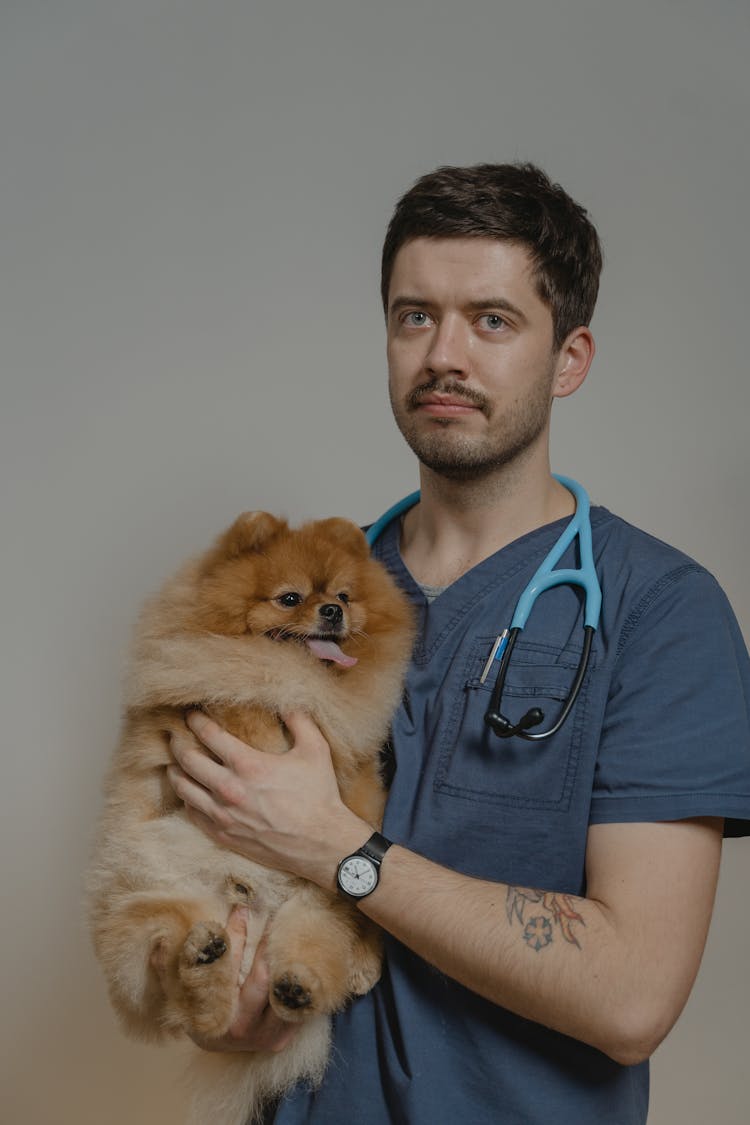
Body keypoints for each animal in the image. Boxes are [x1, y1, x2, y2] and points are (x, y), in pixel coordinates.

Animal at [89, 513, 416, 1125]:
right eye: (290, 598)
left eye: (343, 595)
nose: (331, 611)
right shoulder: (211, 702)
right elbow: (244, 699)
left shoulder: (359, 784)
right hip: (148, 910)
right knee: (185, 999)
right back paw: (204, 969)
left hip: (312, 911)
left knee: (319, 953)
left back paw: (302, 986)